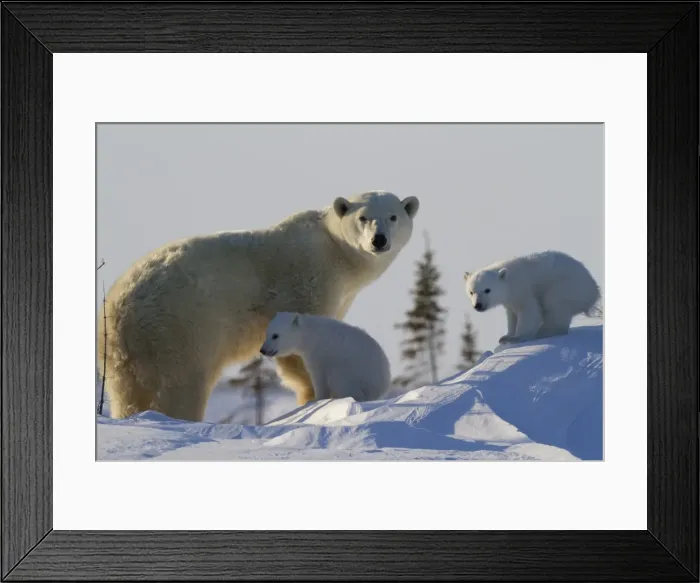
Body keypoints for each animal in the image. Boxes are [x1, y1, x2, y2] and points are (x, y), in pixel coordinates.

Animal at [260, 312, 391, 402]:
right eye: (266, 334)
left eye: (275, 335)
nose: (263, 350)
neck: (310, 334)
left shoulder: (318, 355)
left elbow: (319, 379)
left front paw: (316, 399)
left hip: (350, 373)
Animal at [463, 250, 602, 345]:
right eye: (471, 292)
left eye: (487, 290)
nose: (478, 305)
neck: (509, 280)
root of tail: (594, 289)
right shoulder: (510, 300)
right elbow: (512, 315)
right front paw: (505, 337)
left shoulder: (522, 290)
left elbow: (529, 311)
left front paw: (517, 338)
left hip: (568, 286)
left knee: (554, 305)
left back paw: (544, 332)